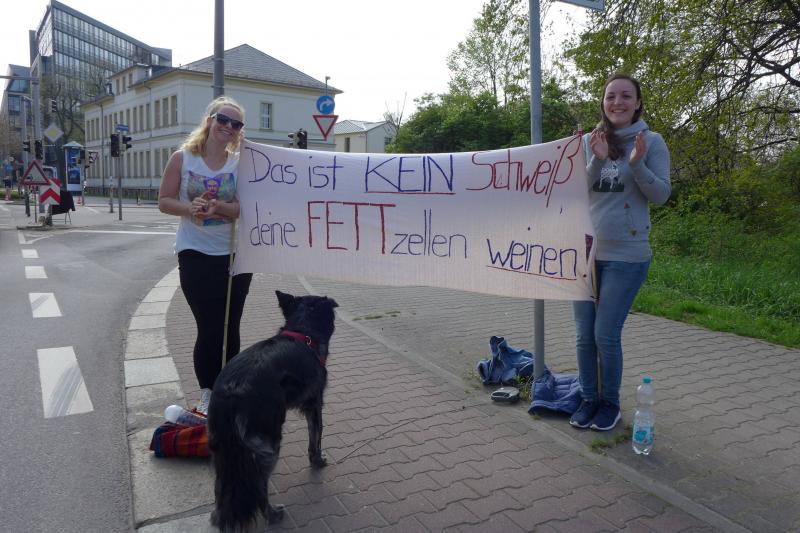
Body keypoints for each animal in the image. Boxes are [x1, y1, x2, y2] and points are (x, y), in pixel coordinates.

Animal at [208, 290, 338, 532]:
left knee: (220, 487)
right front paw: (317, 460)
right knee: (259, 484)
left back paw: (219, 517)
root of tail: (232, 392)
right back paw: (272, 513)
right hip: (269, 444)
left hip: (221, 450)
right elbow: (316, 437)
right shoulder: (315, 404)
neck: (303, 333)